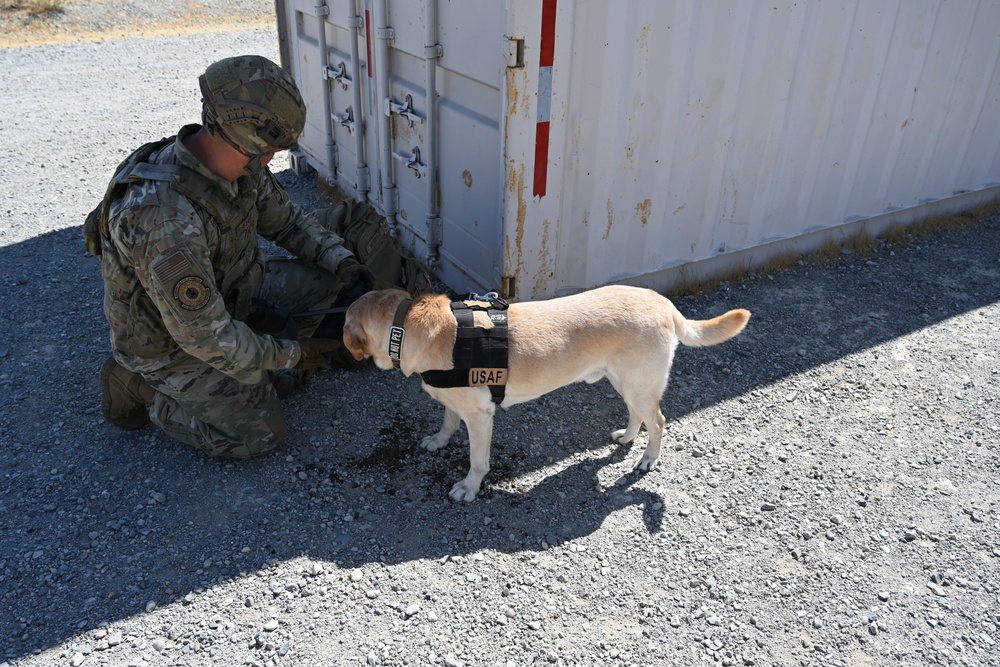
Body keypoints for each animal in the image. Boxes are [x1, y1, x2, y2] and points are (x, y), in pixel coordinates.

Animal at [346, 286, 752, 500]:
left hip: (638, 384)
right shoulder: (453, 401)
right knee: (640, 415)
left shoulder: (479, 417)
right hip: (624, 382)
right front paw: (438, 440)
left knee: (660, 421)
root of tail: (662, 301)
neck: (404, 325)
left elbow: (478, 461)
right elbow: (447, 421)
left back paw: (649, 458)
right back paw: (626, 437)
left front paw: (470, 487)